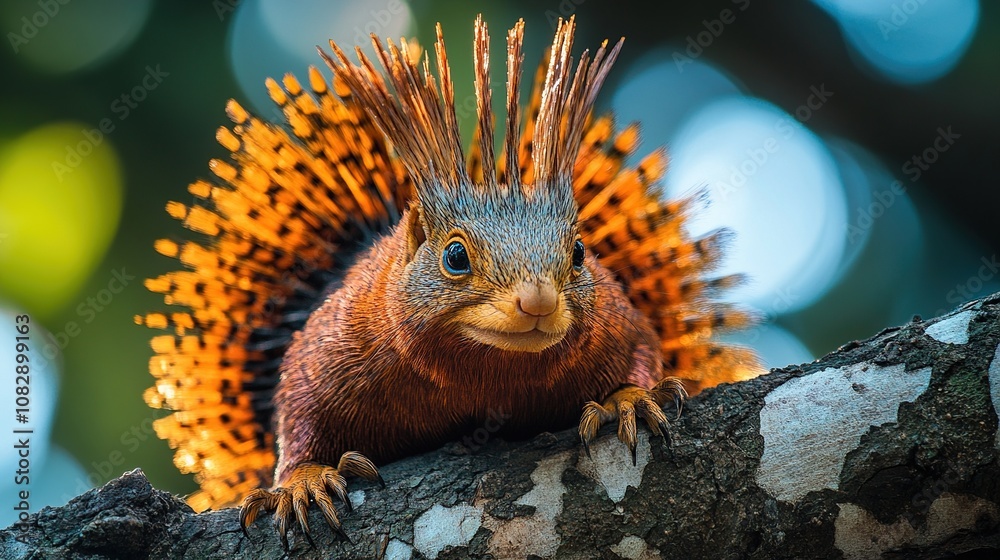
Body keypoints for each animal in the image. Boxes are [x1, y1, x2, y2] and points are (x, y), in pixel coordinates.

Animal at [136, 15, 759, 544]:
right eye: (455, 257)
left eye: (580, 252)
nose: (537, 301)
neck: (482, 377)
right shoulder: (328, 347)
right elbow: (297, 412)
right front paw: (303, 481)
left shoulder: (616, 320)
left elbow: (644, 348)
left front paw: (629, 398)